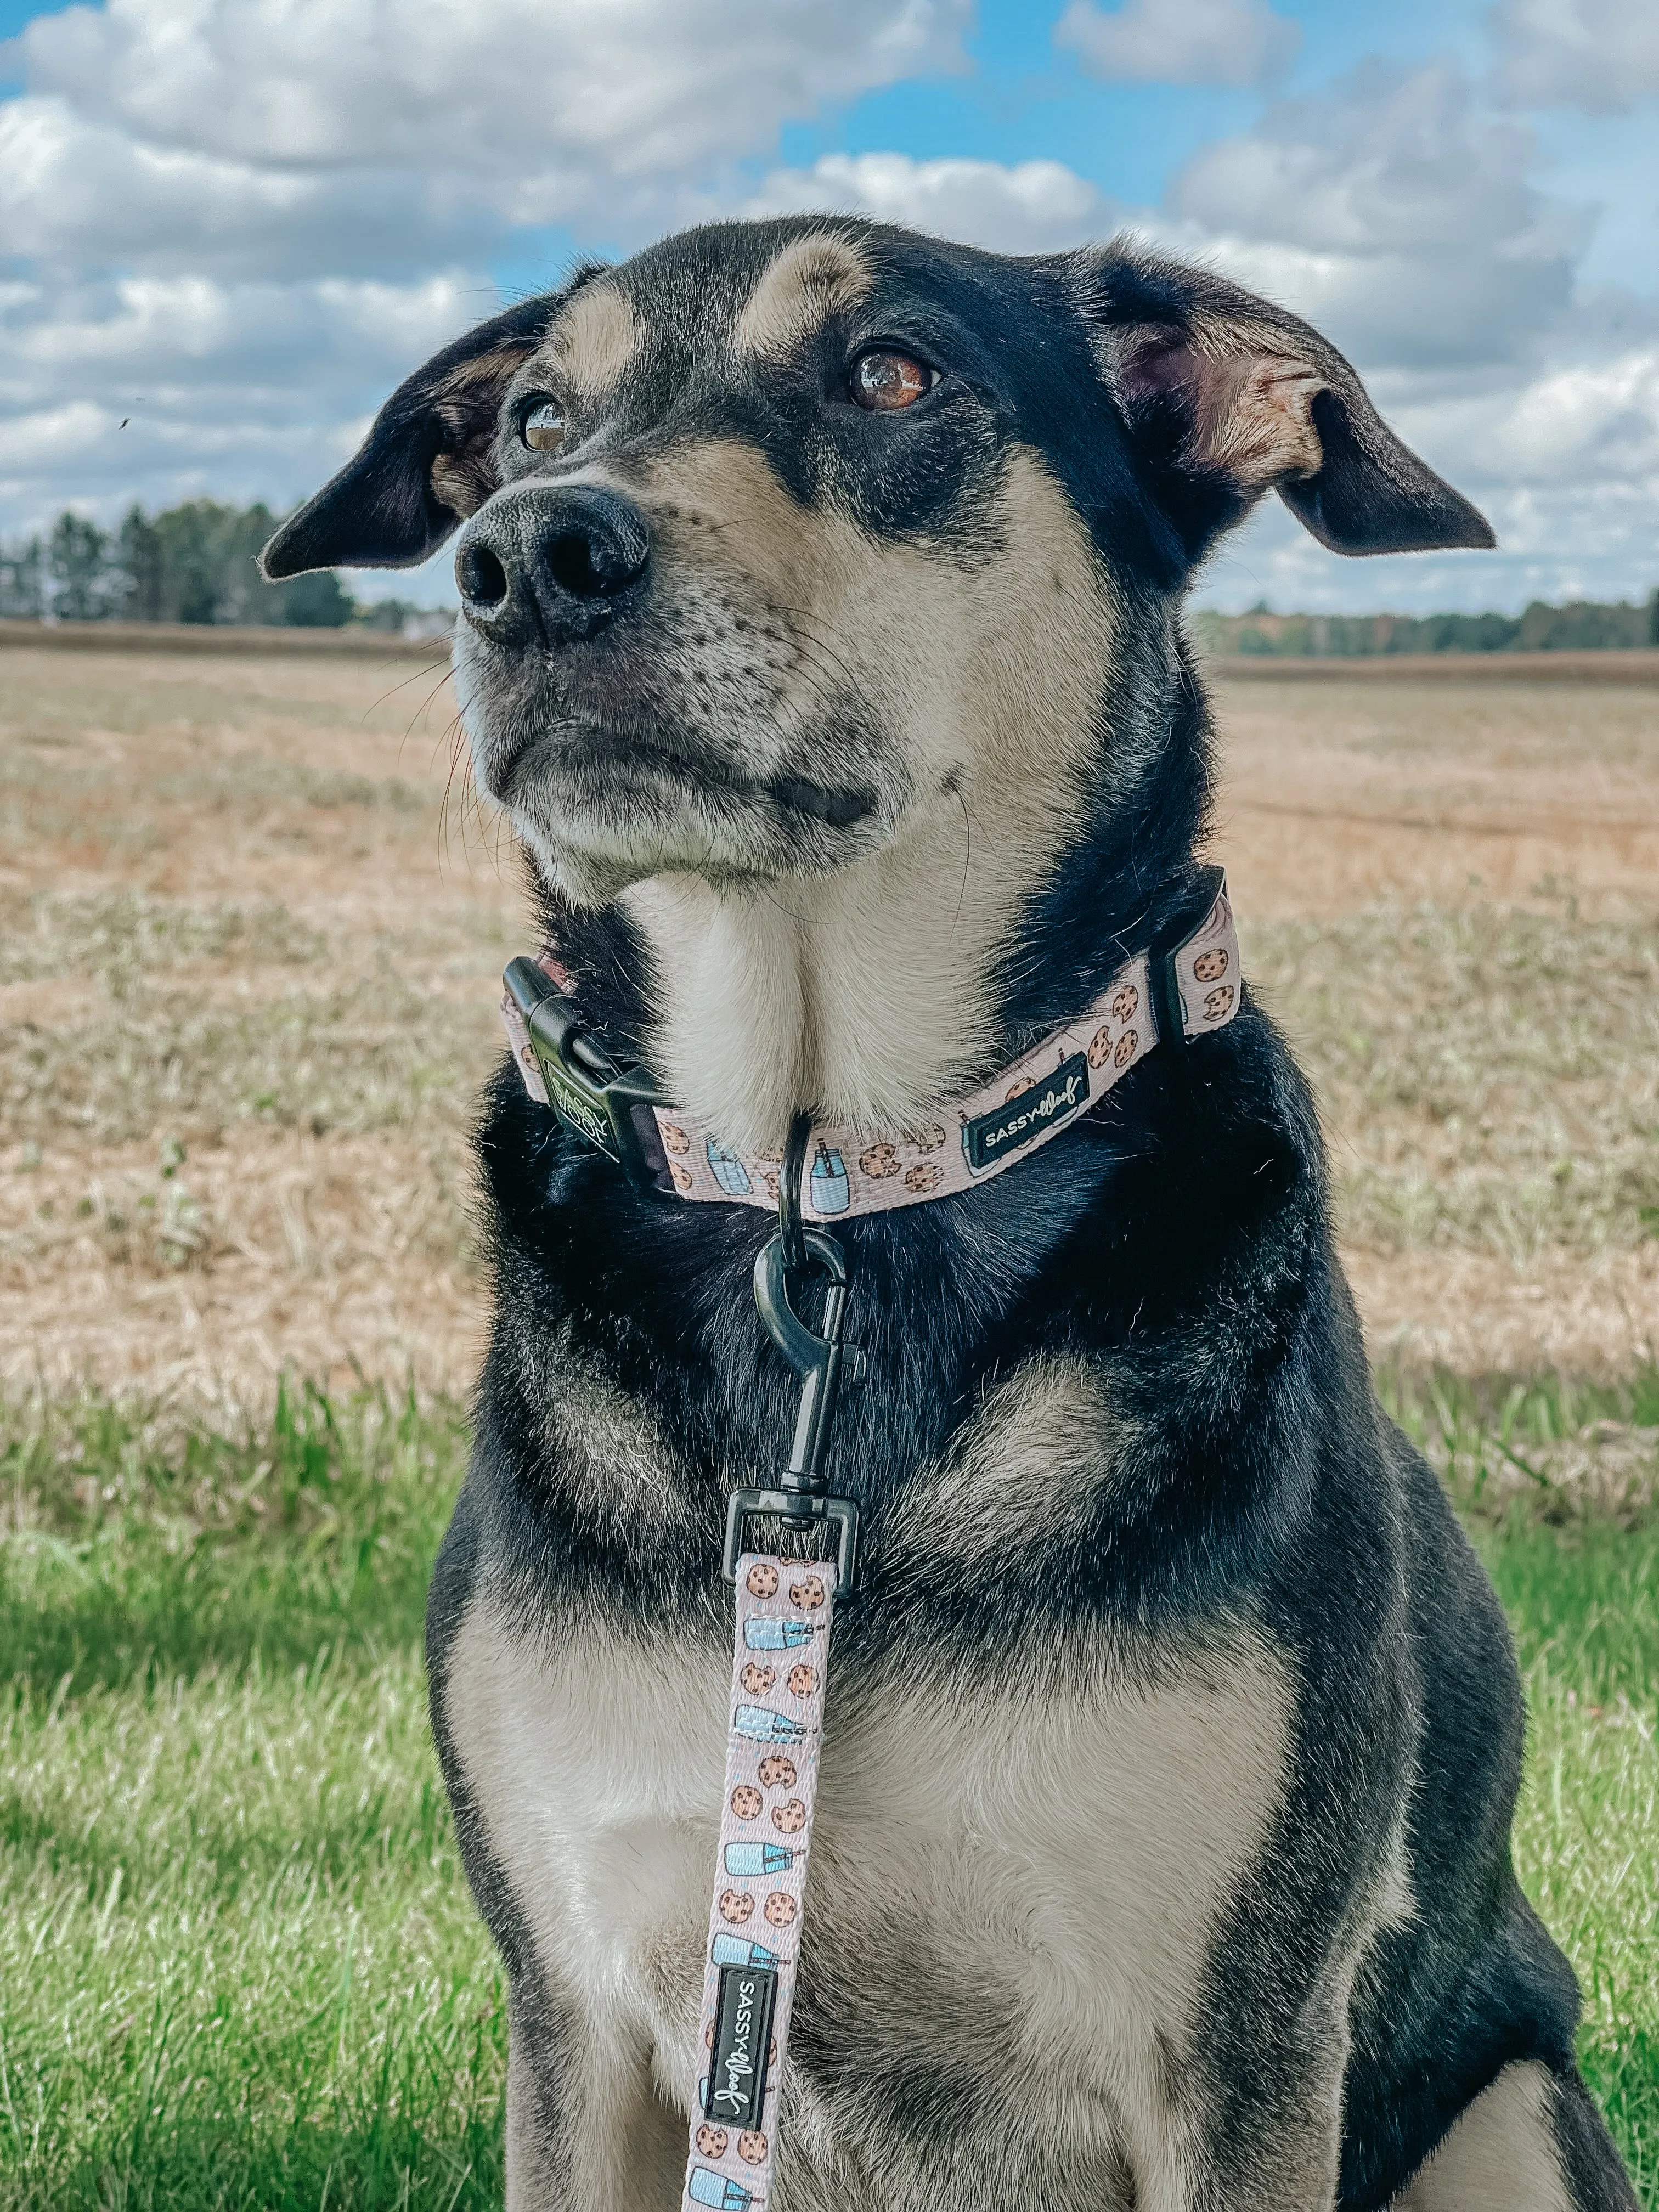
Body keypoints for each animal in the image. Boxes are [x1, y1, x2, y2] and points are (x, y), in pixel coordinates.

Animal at [266, 211, 1645, 2212]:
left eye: (891, 372)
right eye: (532, 417)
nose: (523, 559)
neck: (824, 1181)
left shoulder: (1241, 2045)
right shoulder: (582, 2018)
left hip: (1513, 2107)